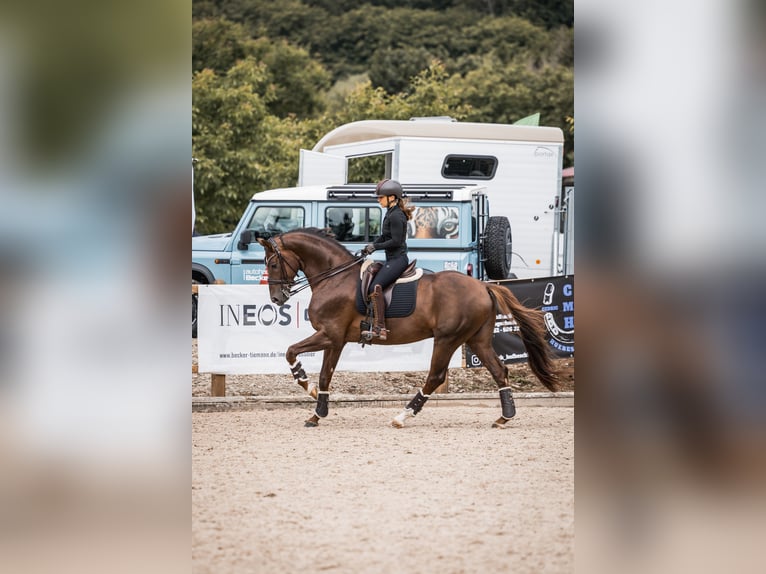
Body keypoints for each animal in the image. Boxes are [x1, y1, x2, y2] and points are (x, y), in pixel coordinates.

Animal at [258, 228, 560, 428]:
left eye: (272, 263)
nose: (277, 299)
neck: (335, 277)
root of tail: (483, 285)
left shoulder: (330, 335)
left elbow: (292, 352)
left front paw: (305, 386)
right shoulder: (337, 340)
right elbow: (324, 376)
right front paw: (316, 412)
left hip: (448, 339)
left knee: (436, 376)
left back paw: (403, 415)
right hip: (477, 339)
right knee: (499, 370)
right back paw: (504, 417)